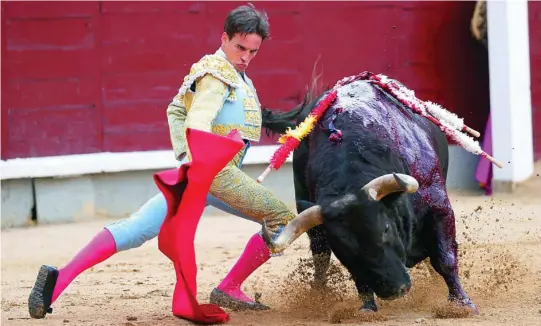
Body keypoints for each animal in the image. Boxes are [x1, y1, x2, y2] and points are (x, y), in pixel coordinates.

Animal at [260, 76, 474, 314]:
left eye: (386, 228)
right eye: (343, 247)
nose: (394, 289)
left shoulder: (439, 207)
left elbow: (445, 259)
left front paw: (462, 303)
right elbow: (356, 276)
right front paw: (367, 308)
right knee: (320, 258)